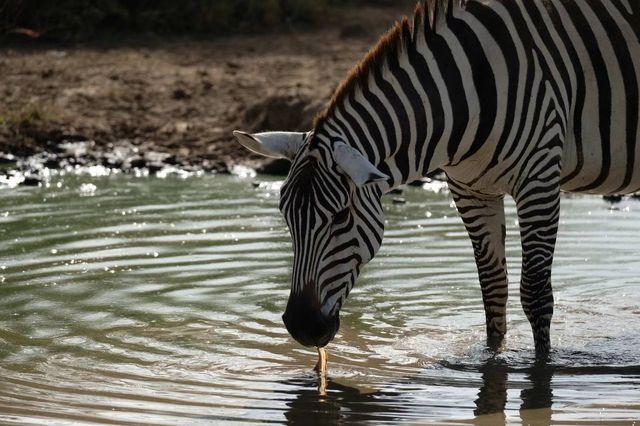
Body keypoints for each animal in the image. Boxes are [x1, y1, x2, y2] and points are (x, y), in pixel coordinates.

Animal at [234, 0, 640, 358]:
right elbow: (493, 288)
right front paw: (492, 358)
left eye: (340, 217)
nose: (301, 328)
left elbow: (536, 294)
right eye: (287, 218)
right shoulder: (470, 189)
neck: (465, 95)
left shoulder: (538, 179)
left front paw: (541, 370)